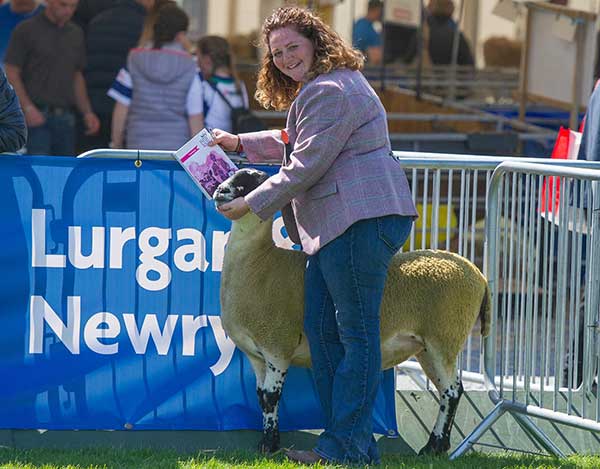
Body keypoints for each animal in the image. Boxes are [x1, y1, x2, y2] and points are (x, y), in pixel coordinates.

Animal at [213, 167, 490, 454]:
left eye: (254, 181)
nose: (220, 191)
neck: (260, 263)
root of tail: (478, 273)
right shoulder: (256, 355)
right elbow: (261, 397)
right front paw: (268, 440)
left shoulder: (278, 345)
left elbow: (271, 397)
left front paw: (269, 444)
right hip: (426, 345)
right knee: (447, 391)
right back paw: (436, 446)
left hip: (445, 335)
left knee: (452, 392)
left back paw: (434, 445)